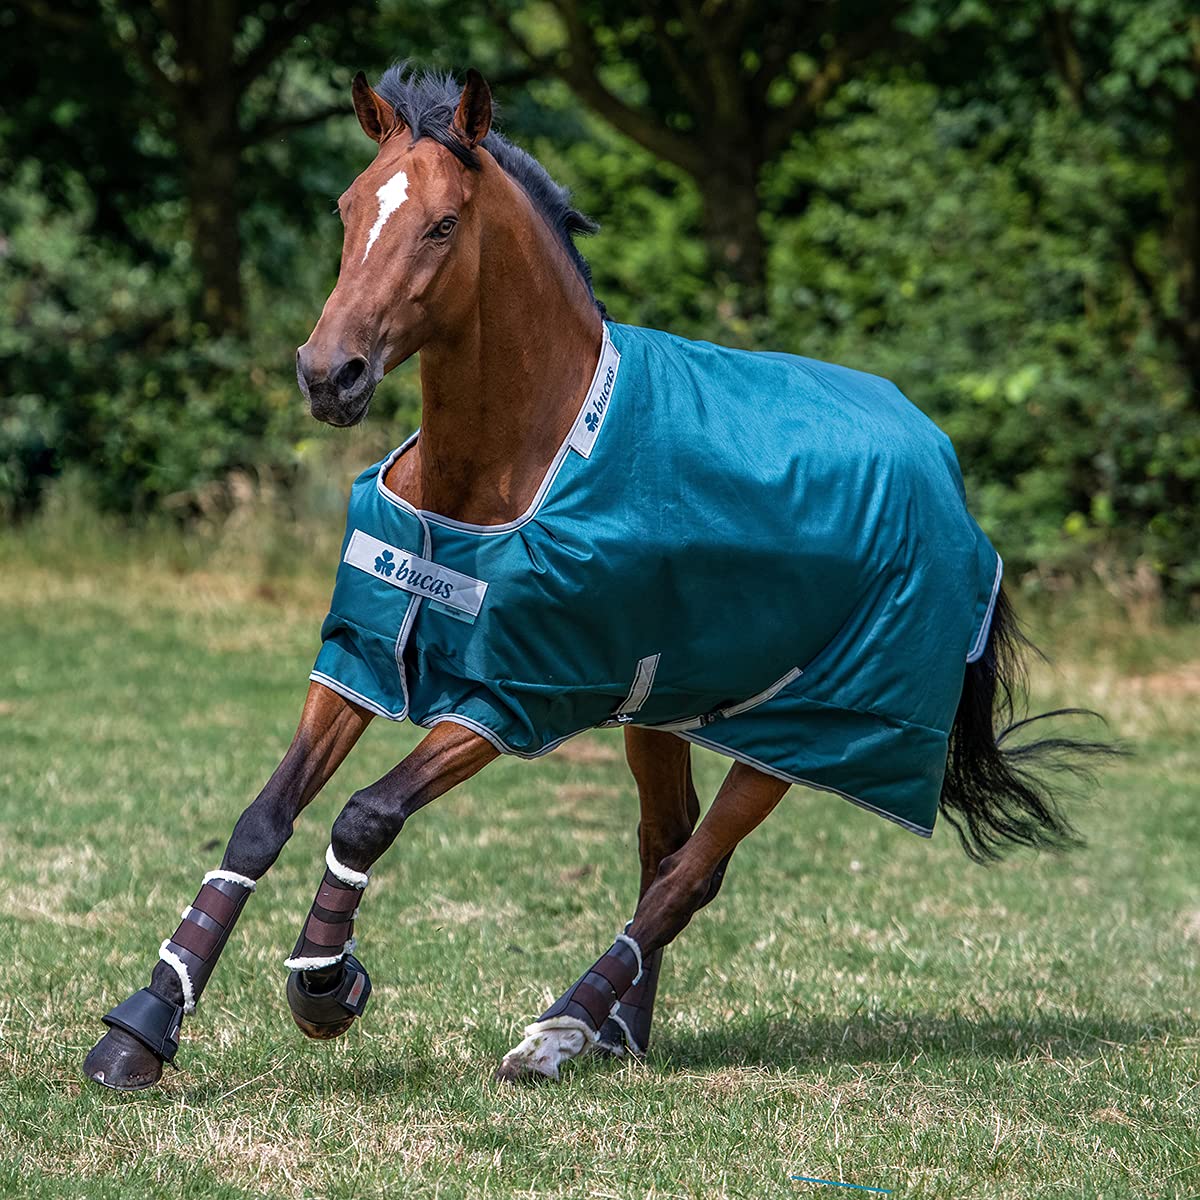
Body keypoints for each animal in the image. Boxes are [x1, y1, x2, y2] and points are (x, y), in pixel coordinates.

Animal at [82, 67, 1109, 1090]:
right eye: (347, 208)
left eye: (443, 225)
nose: (329, 374)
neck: (504, 466)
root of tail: (943, 461)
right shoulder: (362, 657)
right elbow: (264, 818)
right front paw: (142, 1026)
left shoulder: (512, 699)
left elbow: (365, 816)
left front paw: (326, 984)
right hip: (662, 708)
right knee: (666, 846)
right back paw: (620, 1031)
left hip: (807, 730)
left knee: (693, 871)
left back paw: (560, 1030)